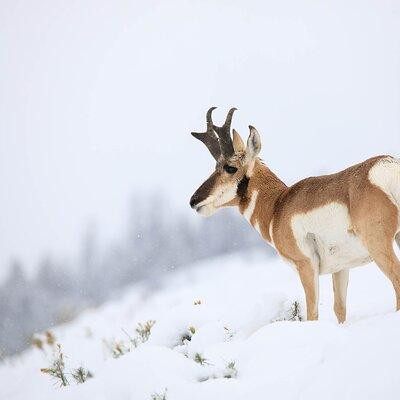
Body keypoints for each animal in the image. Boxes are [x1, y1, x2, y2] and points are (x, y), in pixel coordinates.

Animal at [189, 108, 400, 324]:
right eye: (215, 167)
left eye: (230, 168)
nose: (194, 200)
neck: (277, 205)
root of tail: (386, 165)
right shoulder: (341, 268)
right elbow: (340, 309)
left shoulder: (306, 265)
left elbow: (312, 314)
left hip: (377, 245)